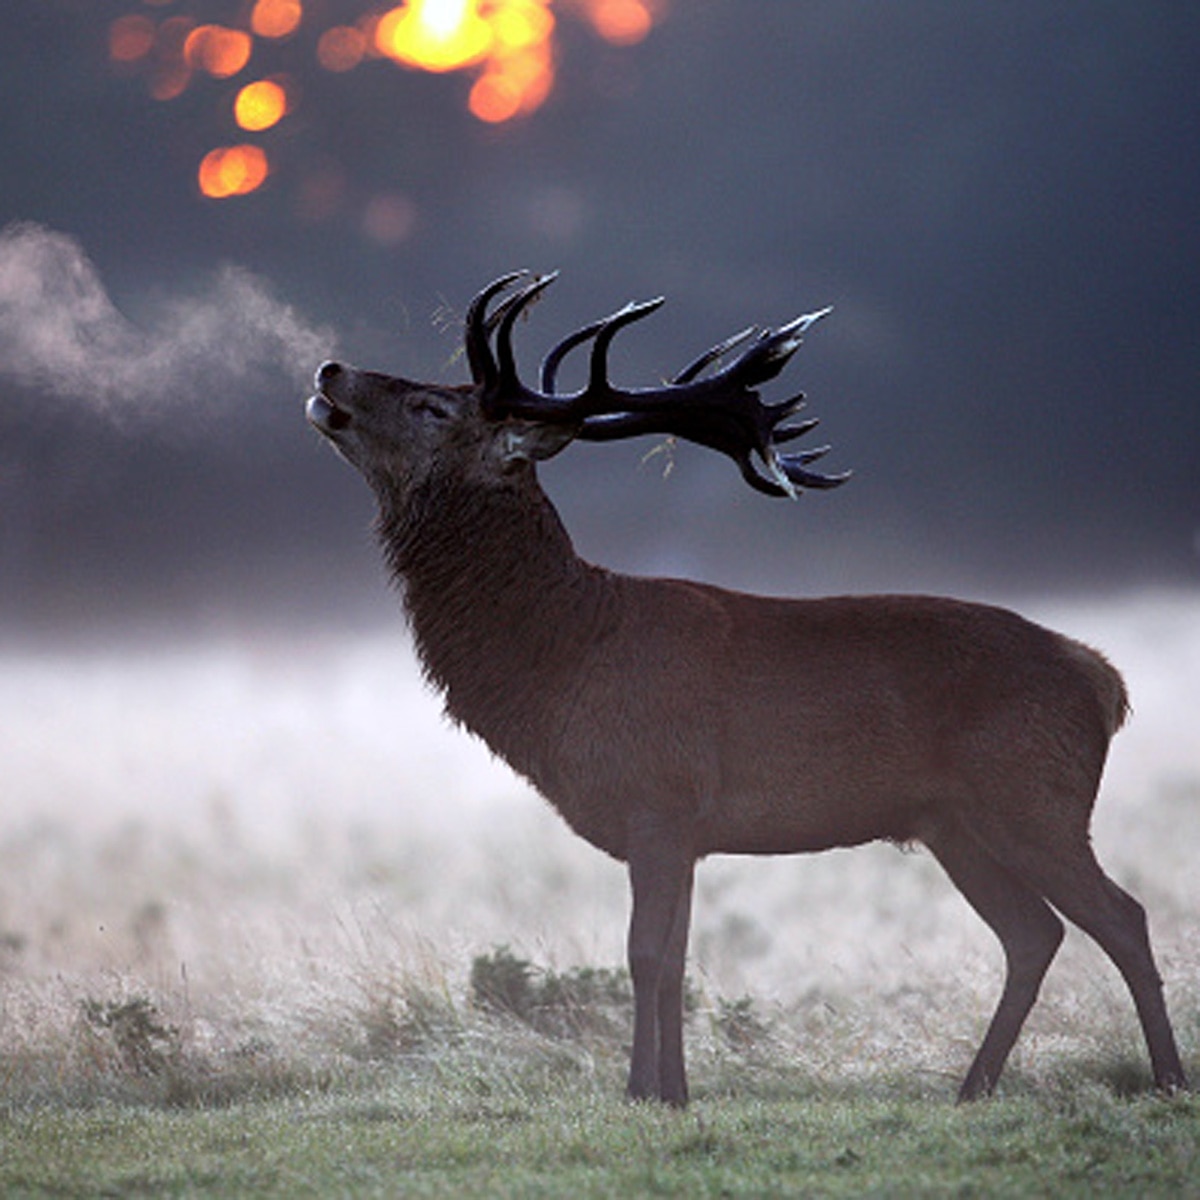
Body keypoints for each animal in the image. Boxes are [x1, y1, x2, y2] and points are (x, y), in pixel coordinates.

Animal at [305, 271, 1187, 1107]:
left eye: (431, 405)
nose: (330, 369)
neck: (563, 660)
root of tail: (1103, 680)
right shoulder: (689, 829)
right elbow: (677, 956)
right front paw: (677, 1092)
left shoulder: (658, 797)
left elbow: (645, 953)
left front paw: (639, 1093)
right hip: (955, 825)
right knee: (1033, 934)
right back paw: (973, 1088)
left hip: (1035, 800)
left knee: (1122, 917)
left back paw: (1168, 1079)